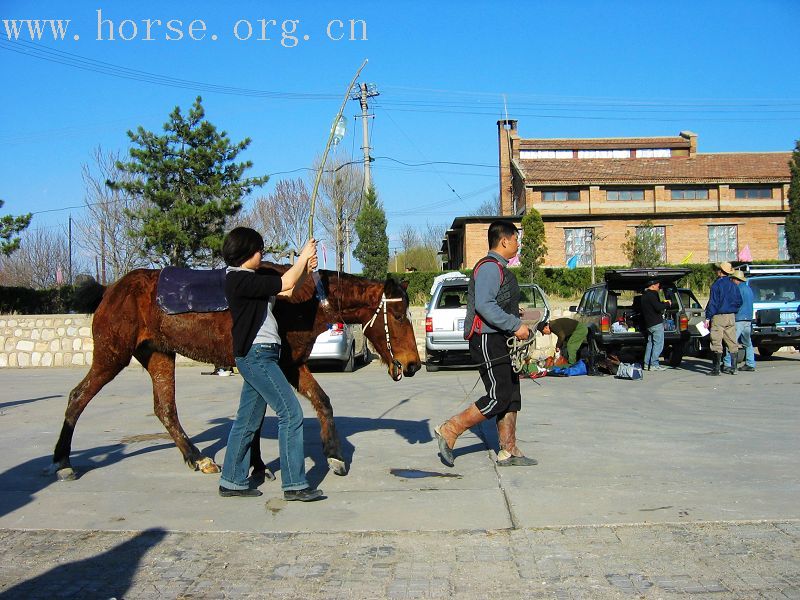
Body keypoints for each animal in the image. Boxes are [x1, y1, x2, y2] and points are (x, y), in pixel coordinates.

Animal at [52, 264, 422, 480]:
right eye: (398, 315)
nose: (414, 364)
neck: (300, 299)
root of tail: (110, 290)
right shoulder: (277, 366)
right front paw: (260, 467)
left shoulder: (290, 365)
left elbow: (321, 402)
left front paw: (333, 456)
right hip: (111, 356)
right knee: (77, 397)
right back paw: (63, 461)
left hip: (159, 355)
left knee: (165, 409)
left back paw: (197, 458)